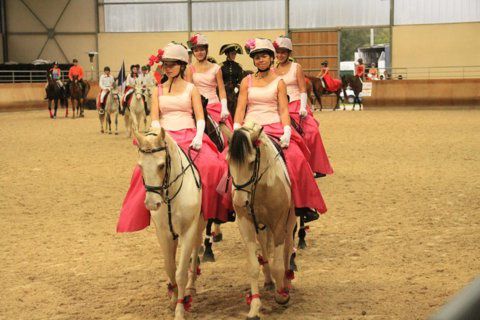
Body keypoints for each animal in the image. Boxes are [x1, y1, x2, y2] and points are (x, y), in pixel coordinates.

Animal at [133, 127, 204, 320]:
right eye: (140, 166)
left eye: (161, 165)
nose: (152, 203)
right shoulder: (164, 234)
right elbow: (170, 267)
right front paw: (173, 299)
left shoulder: (188, 231)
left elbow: (180, 273)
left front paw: (180, 309)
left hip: (200, 223)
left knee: (196, 248)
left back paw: (191, 286)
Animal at [221, 120, 296, 320]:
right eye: (228, 161)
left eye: (251, 162)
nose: (240, 201)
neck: (261, 186)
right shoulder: (245, 223)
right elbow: (253, 266)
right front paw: (254, 307)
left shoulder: (279, 223)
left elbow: (279, 263)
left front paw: (282, 296)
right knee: (264, 245)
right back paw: (269, 280)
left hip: (291, 219)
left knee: (287, 248)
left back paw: (286, 283)